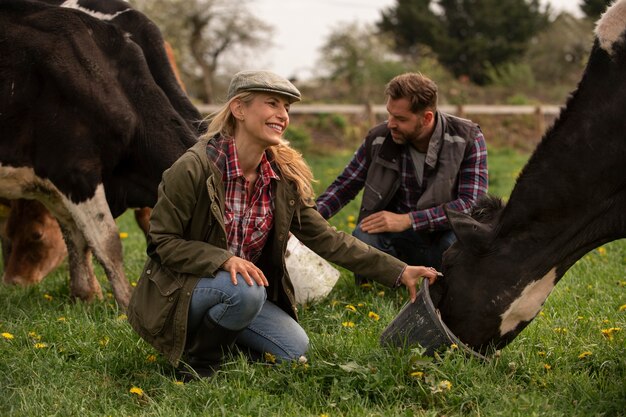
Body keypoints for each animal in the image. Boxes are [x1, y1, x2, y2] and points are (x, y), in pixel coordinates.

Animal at [0, 0, 199, 306]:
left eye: (35, 236)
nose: (14, 282)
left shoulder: (55, 180)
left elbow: (77, 234)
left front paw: (85, 295)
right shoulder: (74, 170)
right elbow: (107, 242)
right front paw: (126, 306)